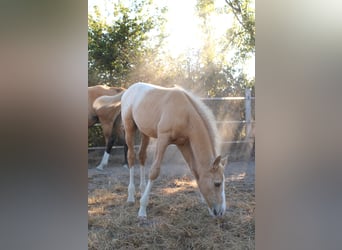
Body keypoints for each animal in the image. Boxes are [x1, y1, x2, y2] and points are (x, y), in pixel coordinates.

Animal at [121, 82, 227, 217]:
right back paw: (130, 197)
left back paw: (142, 190)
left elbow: (194, 170)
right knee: (131, 157)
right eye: (217, 183)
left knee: (141, 156)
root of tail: (129, 90)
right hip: (129, 128)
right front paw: (142, 209)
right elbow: (154, 172)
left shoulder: (183, 143)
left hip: (145, 132)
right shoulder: (163, 139)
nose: (220, 212)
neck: (185, 114)